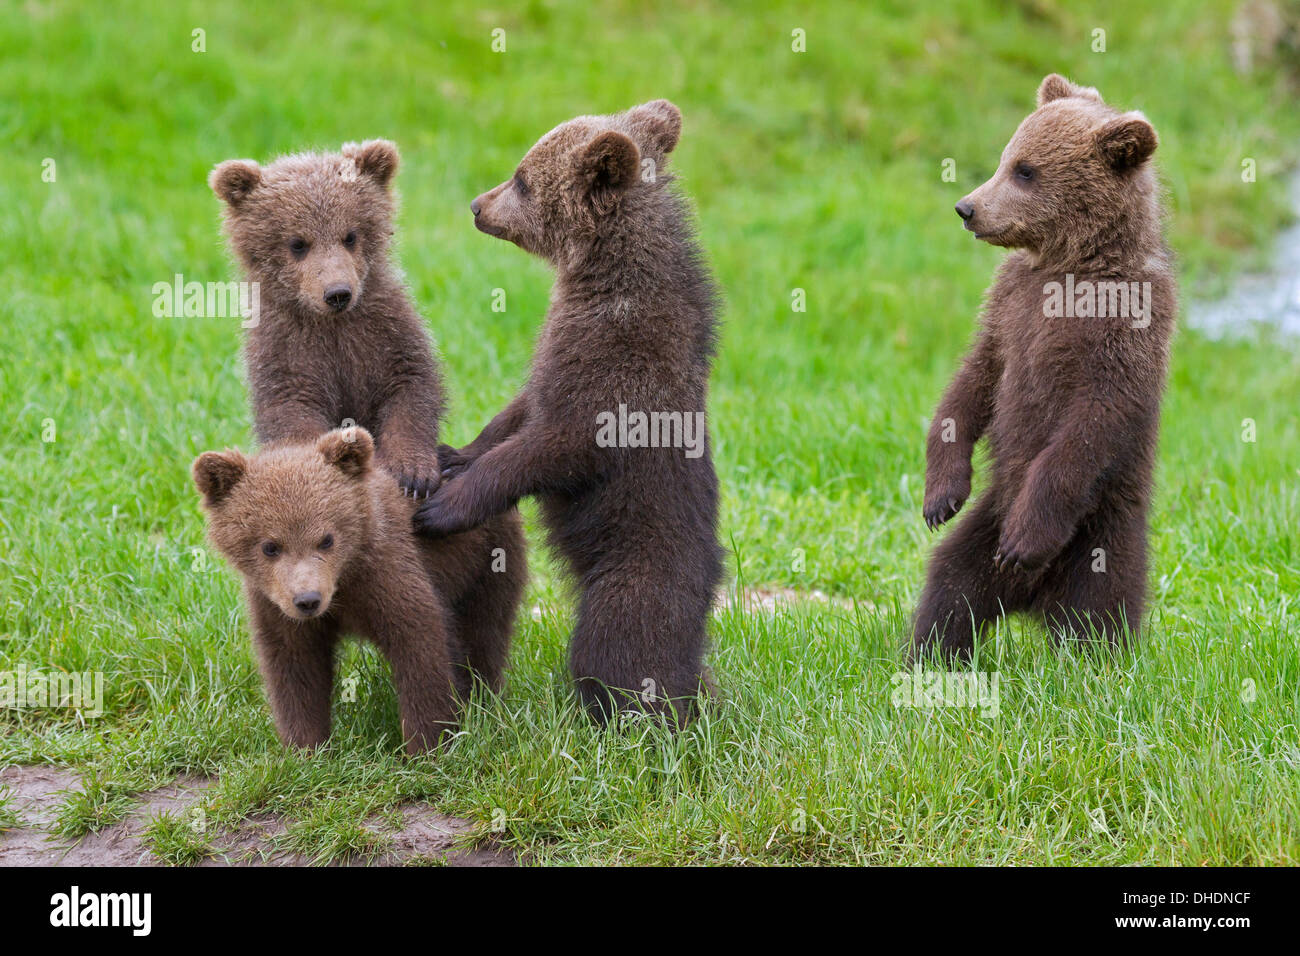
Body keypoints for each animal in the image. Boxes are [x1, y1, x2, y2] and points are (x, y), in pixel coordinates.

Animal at [193, 427, 526, 755]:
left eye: (326, 539)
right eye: (270, 546)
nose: (308, 600)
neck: (344, 580)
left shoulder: (385, 574)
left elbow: (420, 644)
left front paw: (427, 745)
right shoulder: (274, 603)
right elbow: (294, 665)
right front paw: (305, 748)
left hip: (484, 562)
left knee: (484, 631)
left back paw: (484, 702)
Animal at [411, 100, 724, 724]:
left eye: (522, 179)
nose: (477, 205)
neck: (601, 275)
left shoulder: (616, 378)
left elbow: (552, 446)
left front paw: (444, 506)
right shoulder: (556, 360)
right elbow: (517, 413)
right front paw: (453, 452)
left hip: (636, 572)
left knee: (619, 651)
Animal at [911, 74, 1176, 662]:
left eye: (1026, 170)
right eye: (1007, 156)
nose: (967, 208)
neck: (1072, 263)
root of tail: (1030, 599)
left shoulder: (1122, 331)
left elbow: (1090, 422)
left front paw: (1024, 539)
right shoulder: (1010, 309)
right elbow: (975, 381)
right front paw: (940, 495)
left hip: (1101, 533)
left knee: (1097, 612)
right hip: (987, 522)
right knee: (951, 585)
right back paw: (930, 653)